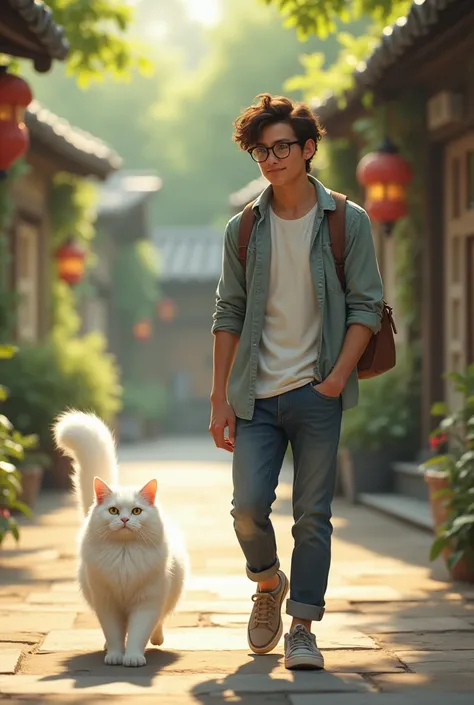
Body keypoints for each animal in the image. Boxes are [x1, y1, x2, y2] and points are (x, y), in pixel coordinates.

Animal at [54, 408, 189, 664]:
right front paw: (116, 655)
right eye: (114, 511)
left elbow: (138, 632)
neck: (124, 556)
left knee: (158, 622)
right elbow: (115, 633)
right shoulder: (106, 603)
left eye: (136, 511)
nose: (125, 520)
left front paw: (133, 658)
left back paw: (157, 639)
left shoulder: (147, 602)